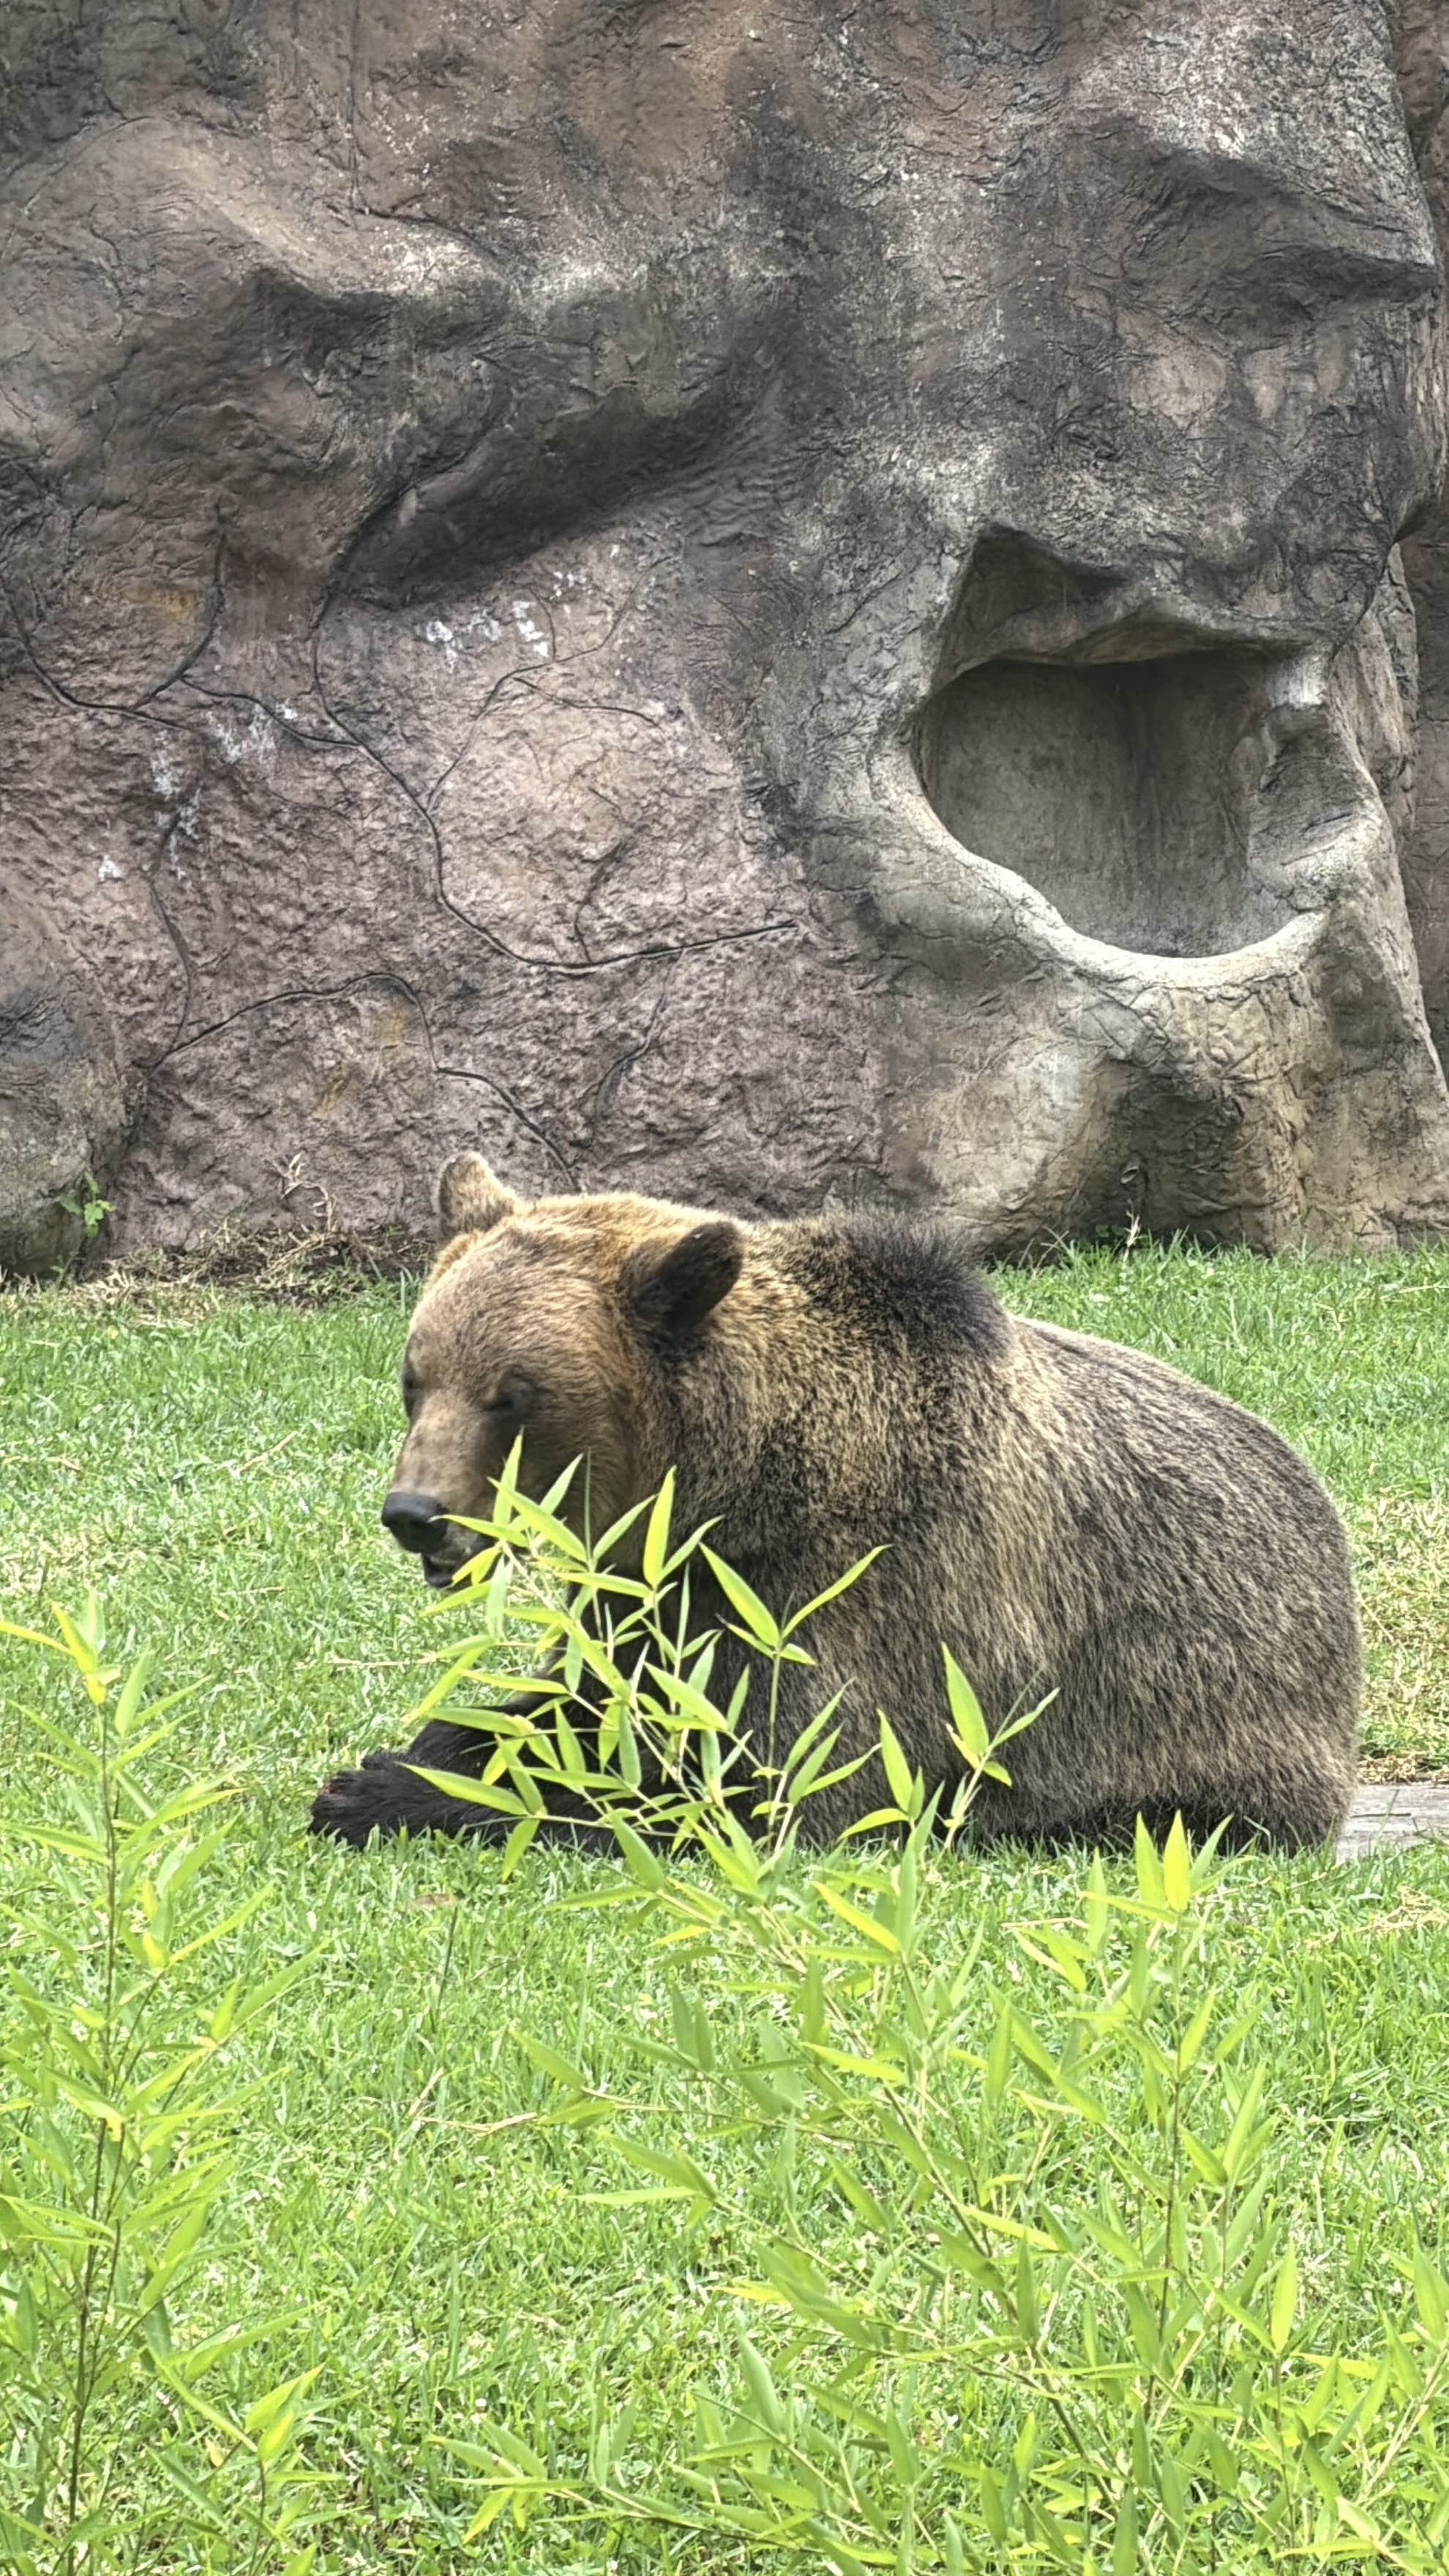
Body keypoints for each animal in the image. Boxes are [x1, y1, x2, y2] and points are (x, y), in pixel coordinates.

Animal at [309, 1151, 1360, 1851]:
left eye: (512, 1397)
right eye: (415, 1379)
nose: (416, 1512)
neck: (730, 1488)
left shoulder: (857, 1591)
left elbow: (760, 1782)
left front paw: (387, 1790)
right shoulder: (660, 1591)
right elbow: (585, 1702)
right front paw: (417, 1754)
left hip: (1202, 1723)